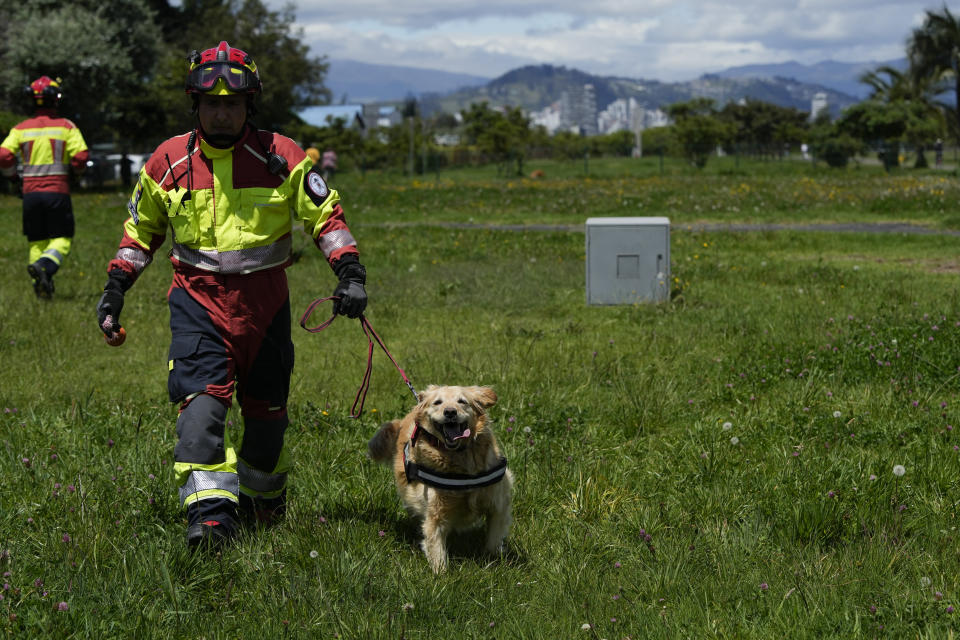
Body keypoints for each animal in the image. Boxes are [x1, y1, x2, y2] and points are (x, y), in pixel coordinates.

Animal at [368, 382, 512, 572]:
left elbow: (494, 539)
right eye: (437, 402)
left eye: (462, 401)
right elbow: (436, 548)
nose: (450, 412)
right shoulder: (435, 513)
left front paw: (494, 560)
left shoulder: (498, 503)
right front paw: (441, 574)